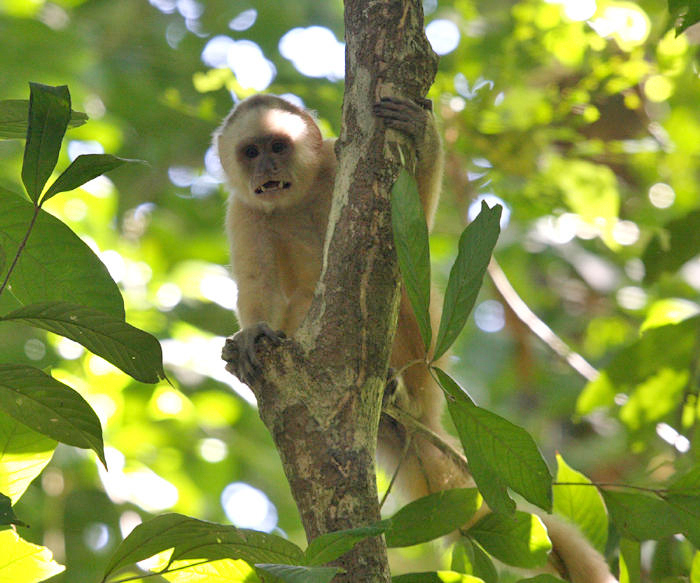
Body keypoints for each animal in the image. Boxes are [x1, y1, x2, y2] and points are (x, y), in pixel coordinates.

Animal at [216, 93, 616, 580]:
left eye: (277, 146)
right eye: (251, 152)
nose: (266, 168)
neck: (299, 197)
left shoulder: (334, 161)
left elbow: (411, 236)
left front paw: (425, 138)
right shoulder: (244, 212)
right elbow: (260, 290)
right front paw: (252, 335)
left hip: (427, 374)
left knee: (402, 295)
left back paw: (399, 396)